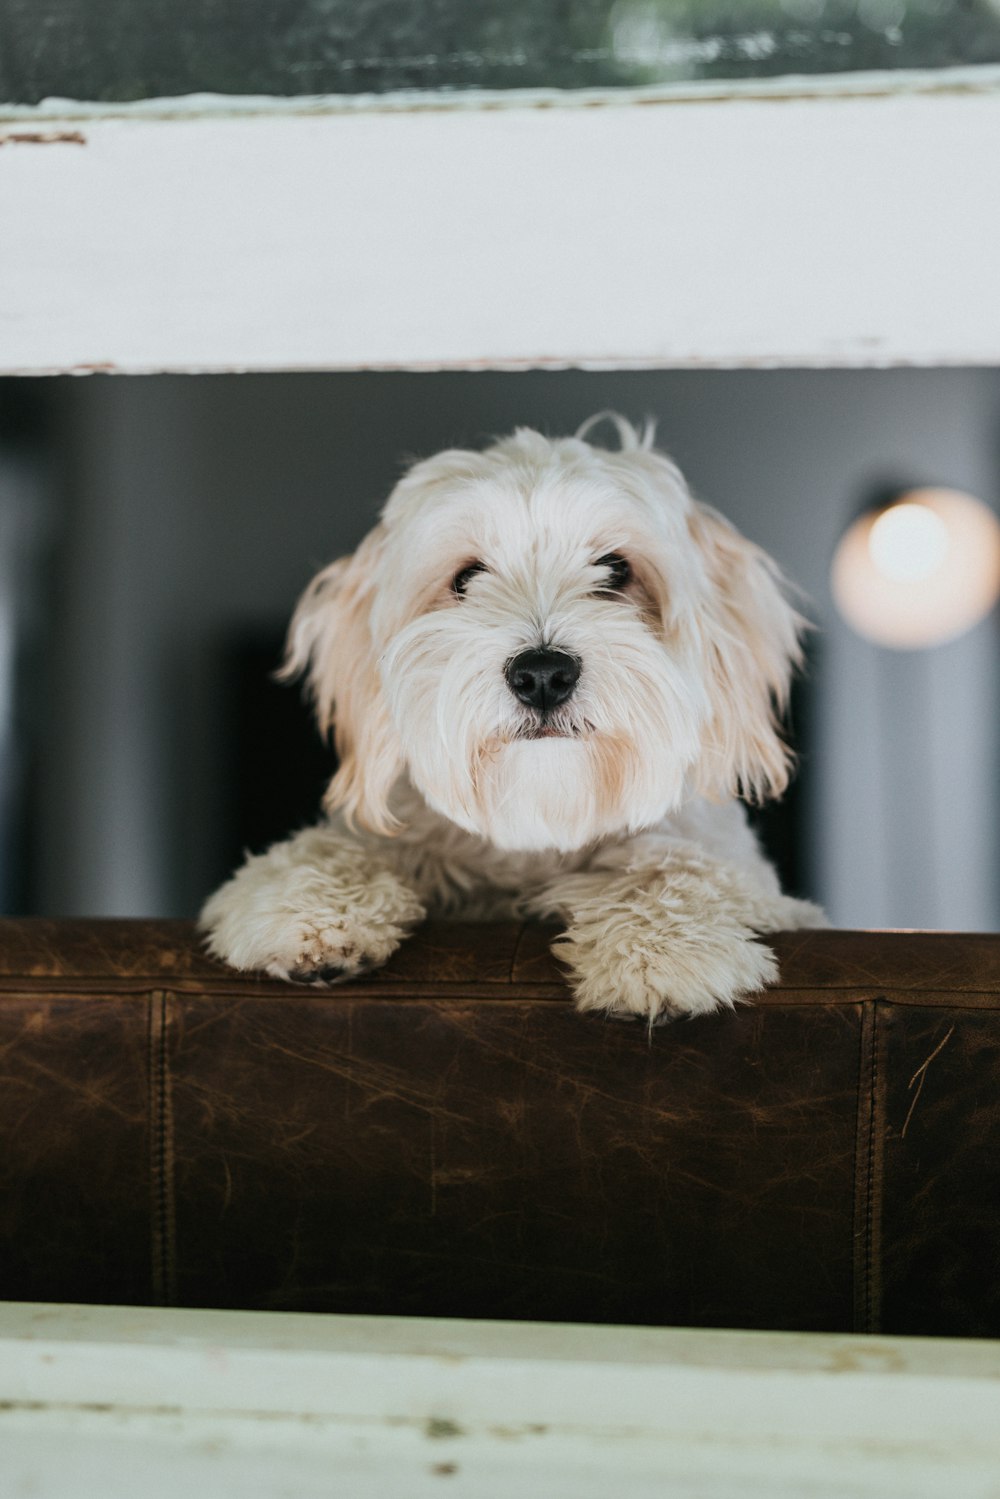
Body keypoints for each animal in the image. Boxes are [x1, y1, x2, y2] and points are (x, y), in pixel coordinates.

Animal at [199, 413, 827, 1019]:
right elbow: (342, 845)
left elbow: (680, 866)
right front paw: (302, 902)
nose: (543, 674)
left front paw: (662, 947)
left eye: (616, 570)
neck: (543, 822)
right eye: (466, 578)